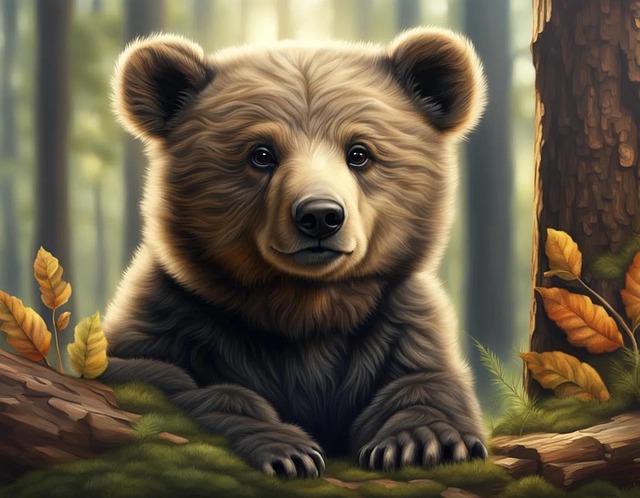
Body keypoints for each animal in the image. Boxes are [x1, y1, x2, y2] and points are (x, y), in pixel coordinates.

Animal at [101, 27, 488, 479]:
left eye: (359, 152)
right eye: (261, 153)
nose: (320, 215)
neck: (304, 306)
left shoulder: (392, 321)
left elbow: (426, 376)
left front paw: (423, 441)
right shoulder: (181, 315)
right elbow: (158, 377)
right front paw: (288, 449)